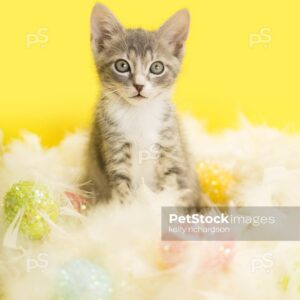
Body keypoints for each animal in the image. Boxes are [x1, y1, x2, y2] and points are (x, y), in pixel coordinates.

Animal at [84, 3, 202, 205]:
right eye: (122, 65)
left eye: (157, 67)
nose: (139, 85)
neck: (139, 114)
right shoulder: (115, 150)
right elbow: (123, 192)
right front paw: (132, 211)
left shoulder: (170, 149)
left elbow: (172, 189)